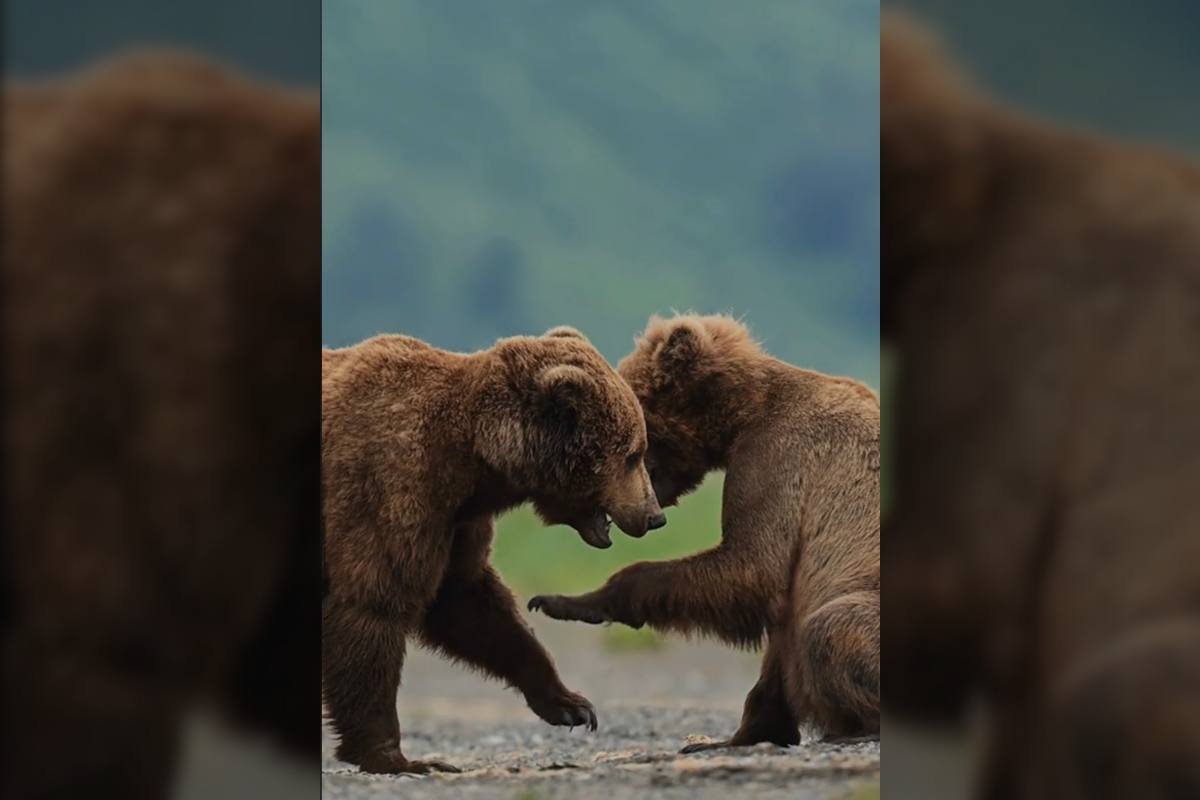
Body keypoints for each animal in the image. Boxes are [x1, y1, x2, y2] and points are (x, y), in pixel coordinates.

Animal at [319, 326, 667, 777]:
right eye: (632, 454)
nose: (654, 515)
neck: (471, 460)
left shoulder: (456, 524)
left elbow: (472, 605)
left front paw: (571, 704)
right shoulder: (391, 489)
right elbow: (372, 605)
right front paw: (398, 756)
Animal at [528, 314, 883, 753]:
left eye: (637, 437)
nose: (653, 516)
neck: (744, 415)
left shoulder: (774, 461)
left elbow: (751, 565)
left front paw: (569, 601)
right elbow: (775, 641)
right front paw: (731, 737)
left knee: (829, 627)